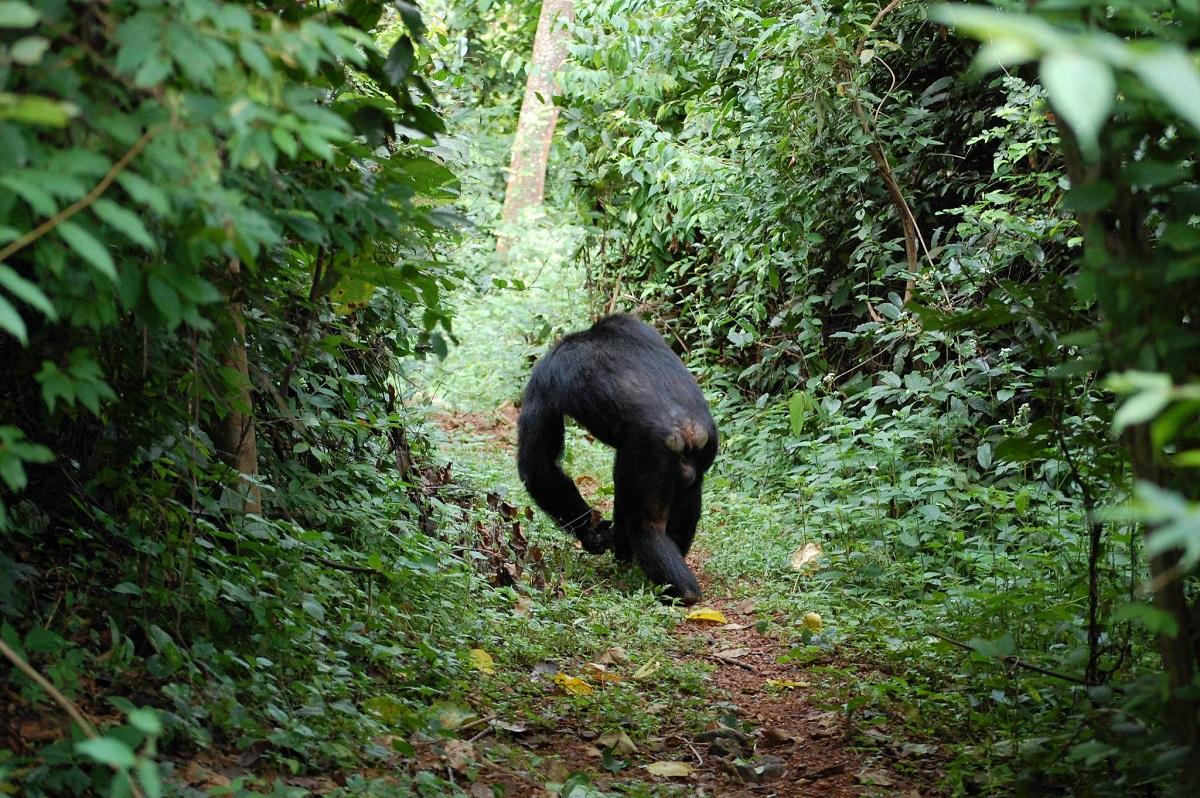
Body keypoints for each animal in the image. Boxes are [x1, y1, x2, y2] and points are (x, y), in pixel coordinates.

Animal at [513, 314, 715, 600]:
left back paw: (676, 588)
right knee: (689, 494)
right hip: (702, 450)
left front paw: (592, 534)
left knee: (645, 524)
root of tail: (687, 429)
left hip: (649, 456)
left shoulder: (543, 380)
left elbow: (538, 465)